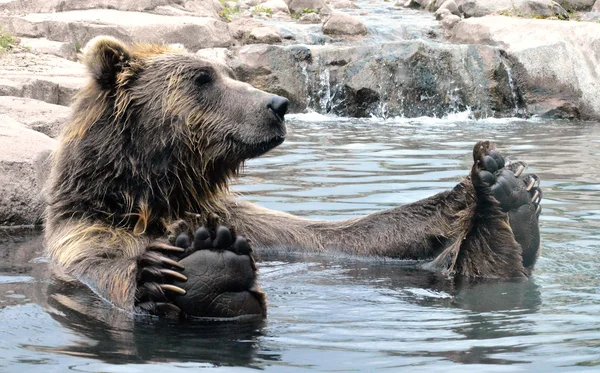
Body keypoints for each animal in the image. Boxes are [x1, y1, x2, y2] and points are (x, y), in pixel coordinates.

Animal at [45, 35, 544, 320]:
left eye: (229, 73)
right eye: (202, 78)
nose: (277, 104)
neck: (161, 196)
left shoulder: (252, 224)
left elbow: (340, 238)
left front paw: (487, 178)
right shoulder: (89, 231)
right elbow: (108, 270)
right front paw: (200, 262)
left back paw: (509, 196)